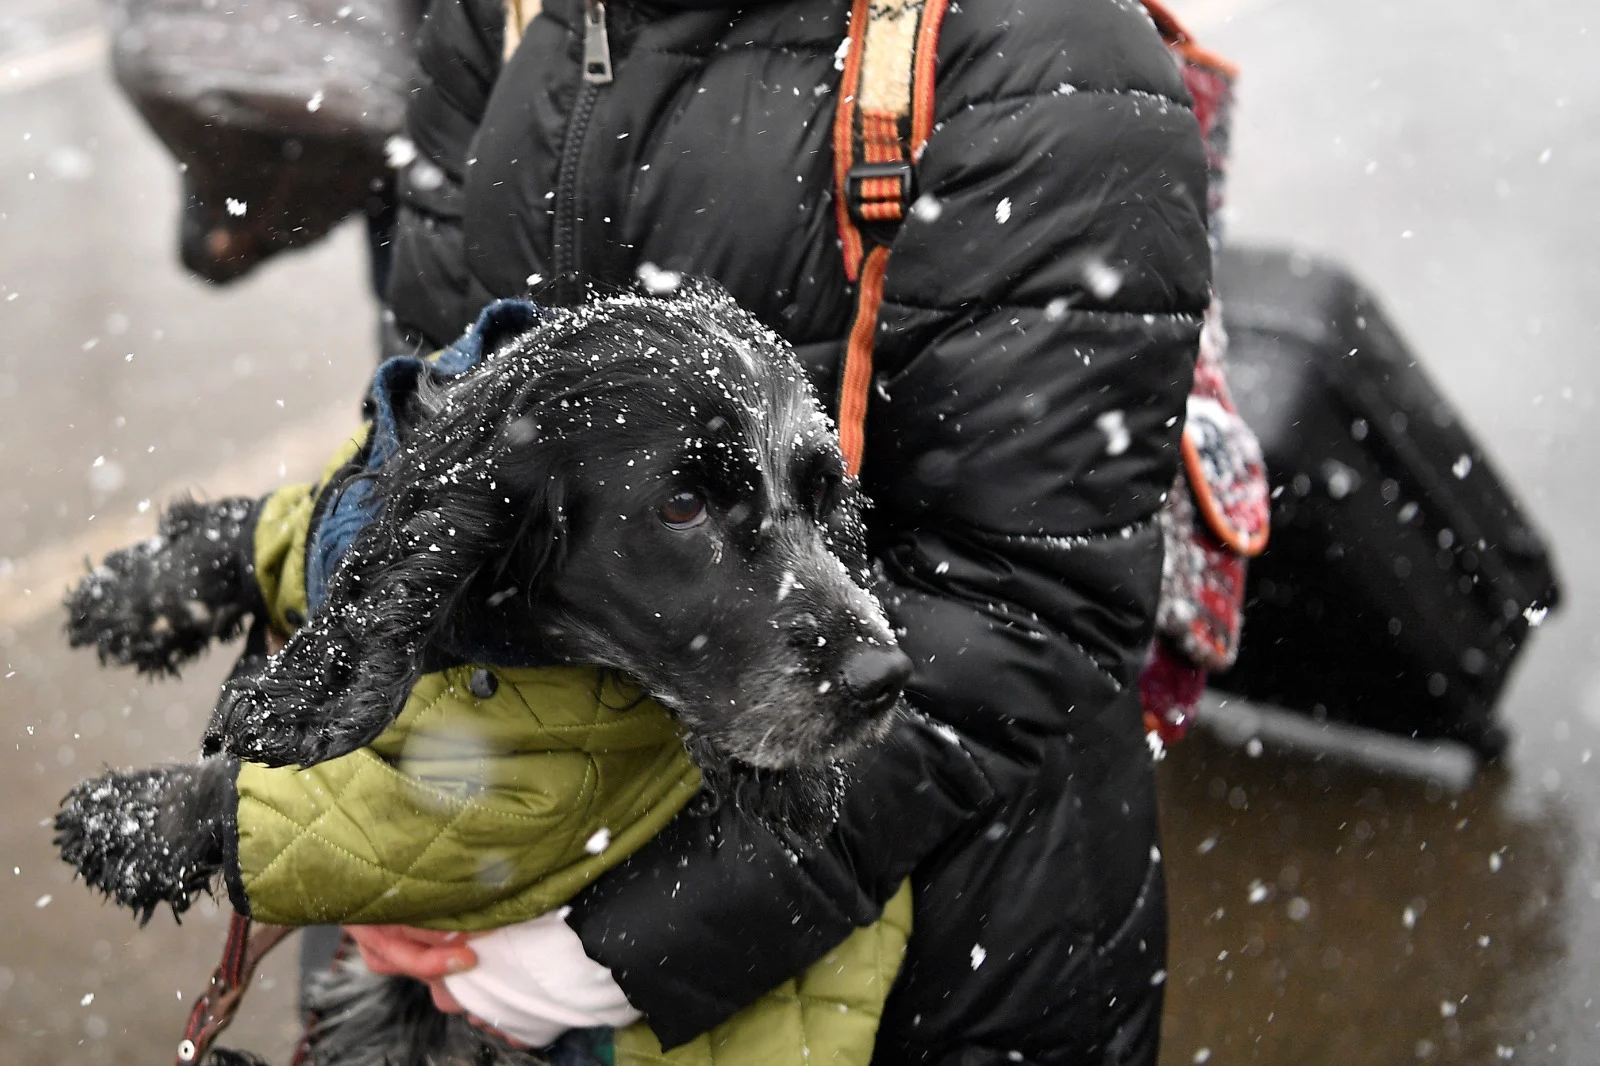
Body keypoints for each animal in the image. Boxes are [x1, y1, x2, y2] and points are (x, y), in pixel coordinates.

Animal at [56, 278, 915, 1056]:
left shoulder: (501, 807)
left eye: (822, 498)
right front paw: (130, 595)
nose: (885, 677)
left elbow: (297, 810)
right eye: (682, 506)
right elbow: (255, 533)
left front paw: (129, 818)